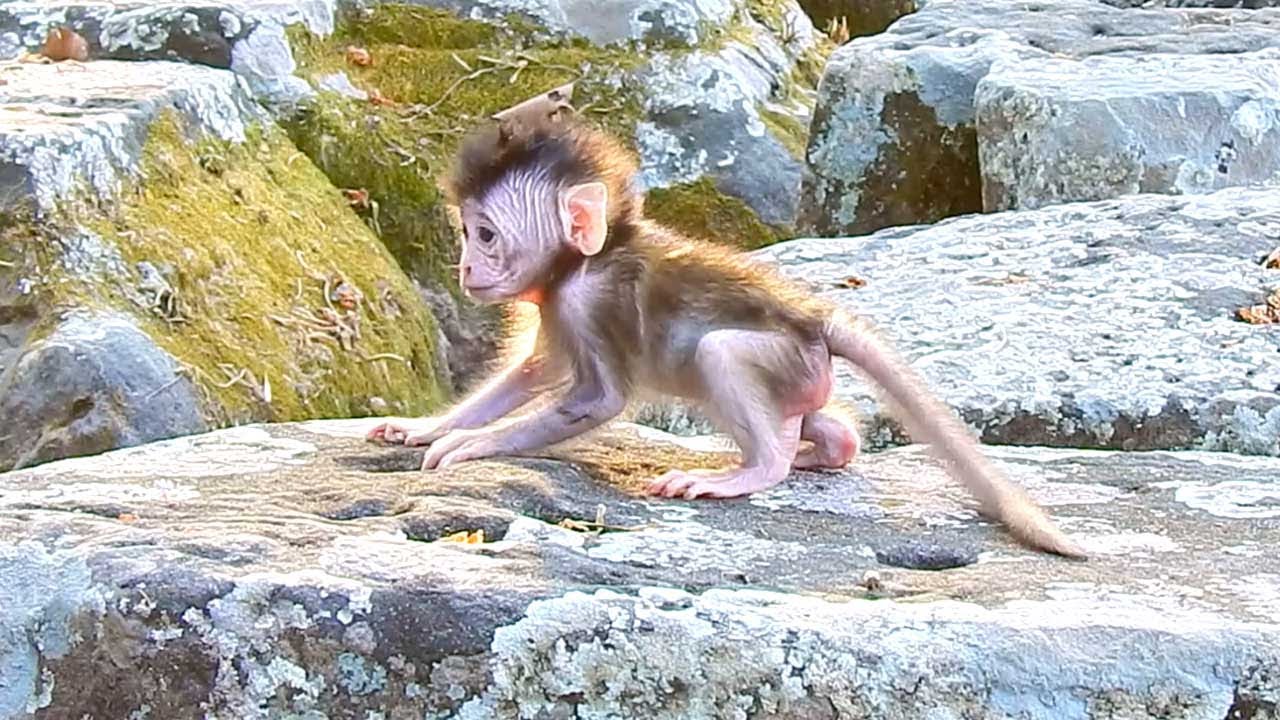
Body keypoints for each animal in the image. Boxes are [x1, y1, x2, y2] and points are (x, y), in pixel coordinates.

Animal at [367, 108, 1087, 560]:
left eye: (485, 235)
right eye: (467, 231)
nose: (466, 267)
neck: (586, 258)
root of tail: (814, 320)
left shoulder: (590, 302)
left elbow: (596, 400)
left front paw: (472, 446)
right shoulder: (557, 305)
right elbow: (530, 374)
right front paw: (427, 428)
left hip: (785, 357)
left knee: (721, 352)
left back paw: (760, 467)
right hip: (805, 377)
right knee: (826, 425)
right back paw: (817, 448)